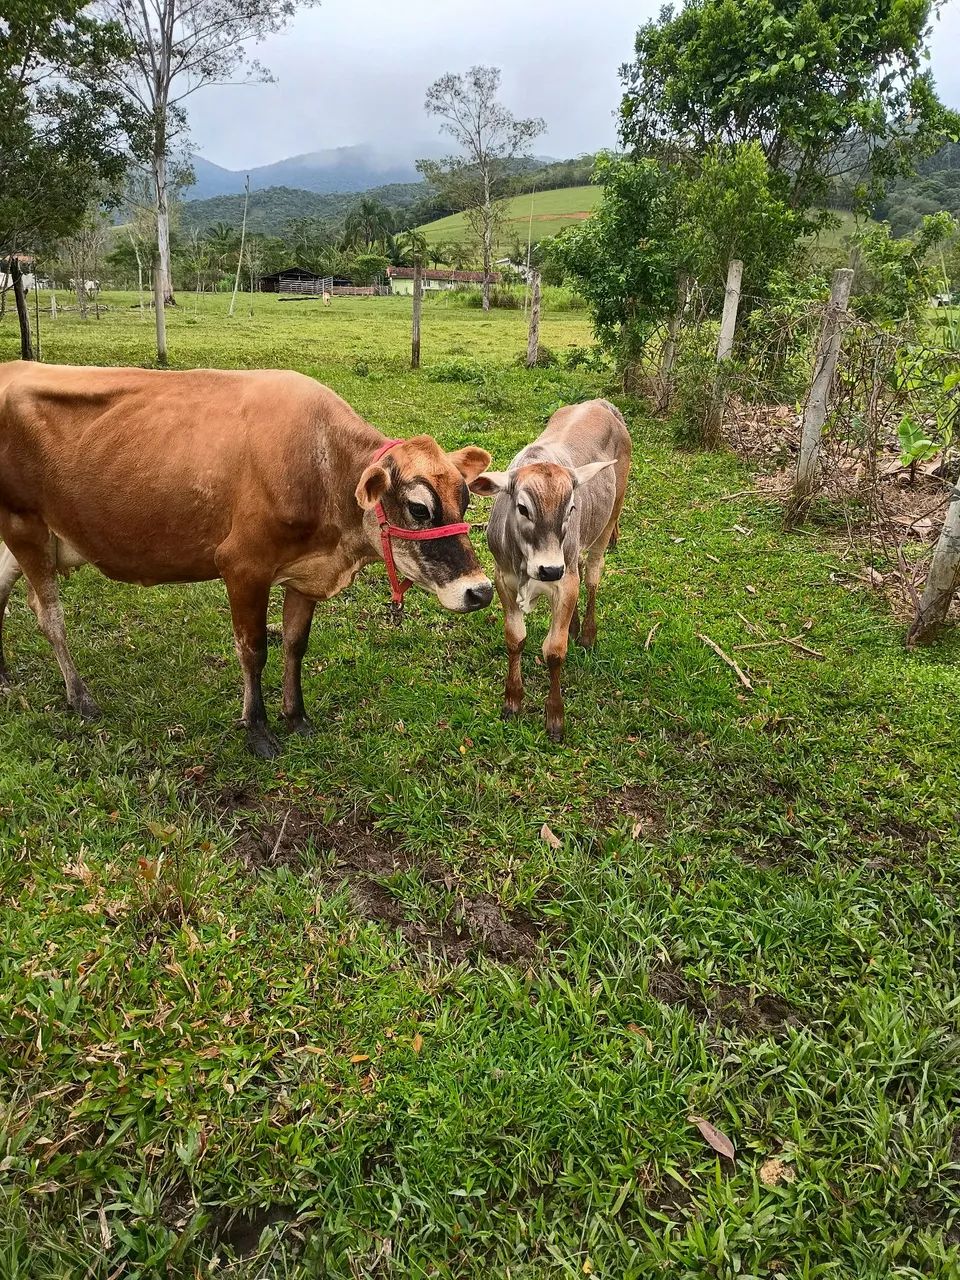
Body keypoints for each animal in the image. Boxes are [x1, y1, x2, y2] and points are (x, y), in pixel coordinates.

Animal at [0, 361, 494, 757]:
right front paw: (257, 729)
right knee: (49, 616)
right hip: (24, 522)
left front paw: (296, 717)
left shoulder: (304, 573)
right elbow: (253, 651)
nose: (481, 590)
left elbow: (295, 644)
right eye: (419, 508)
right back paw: (80, 698)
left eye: (466, 500)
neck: (323, 467)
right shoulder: (242, 567)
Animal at [470, 399, 631, 742]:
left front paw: (555, 716)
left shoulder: (564, 580)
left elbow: (554, 651)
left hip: (610, 516)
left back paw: (586, 632)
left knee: (592, 573)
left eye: (570, 508)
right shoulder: (503, 578)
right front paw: (512, 699)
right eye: (522, 507)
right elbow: (515, 639)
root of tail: (601, 403)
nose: (549, 569)